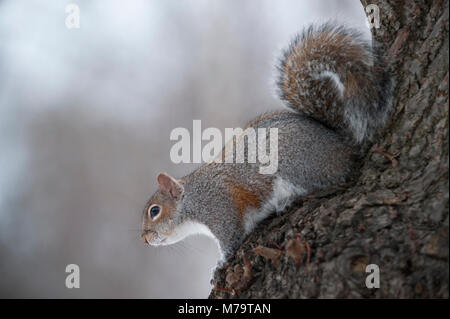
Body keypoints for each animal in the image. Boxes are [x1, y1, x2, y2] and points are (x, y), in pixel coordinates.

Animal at [142, 22, 392, 262]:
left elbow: (231, 238)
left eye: (154, 211)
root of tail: (343, 146)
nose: (144, 239)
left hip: (293, 161)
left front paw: (219, 263)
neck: (192, 198)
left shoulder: (220, 209)